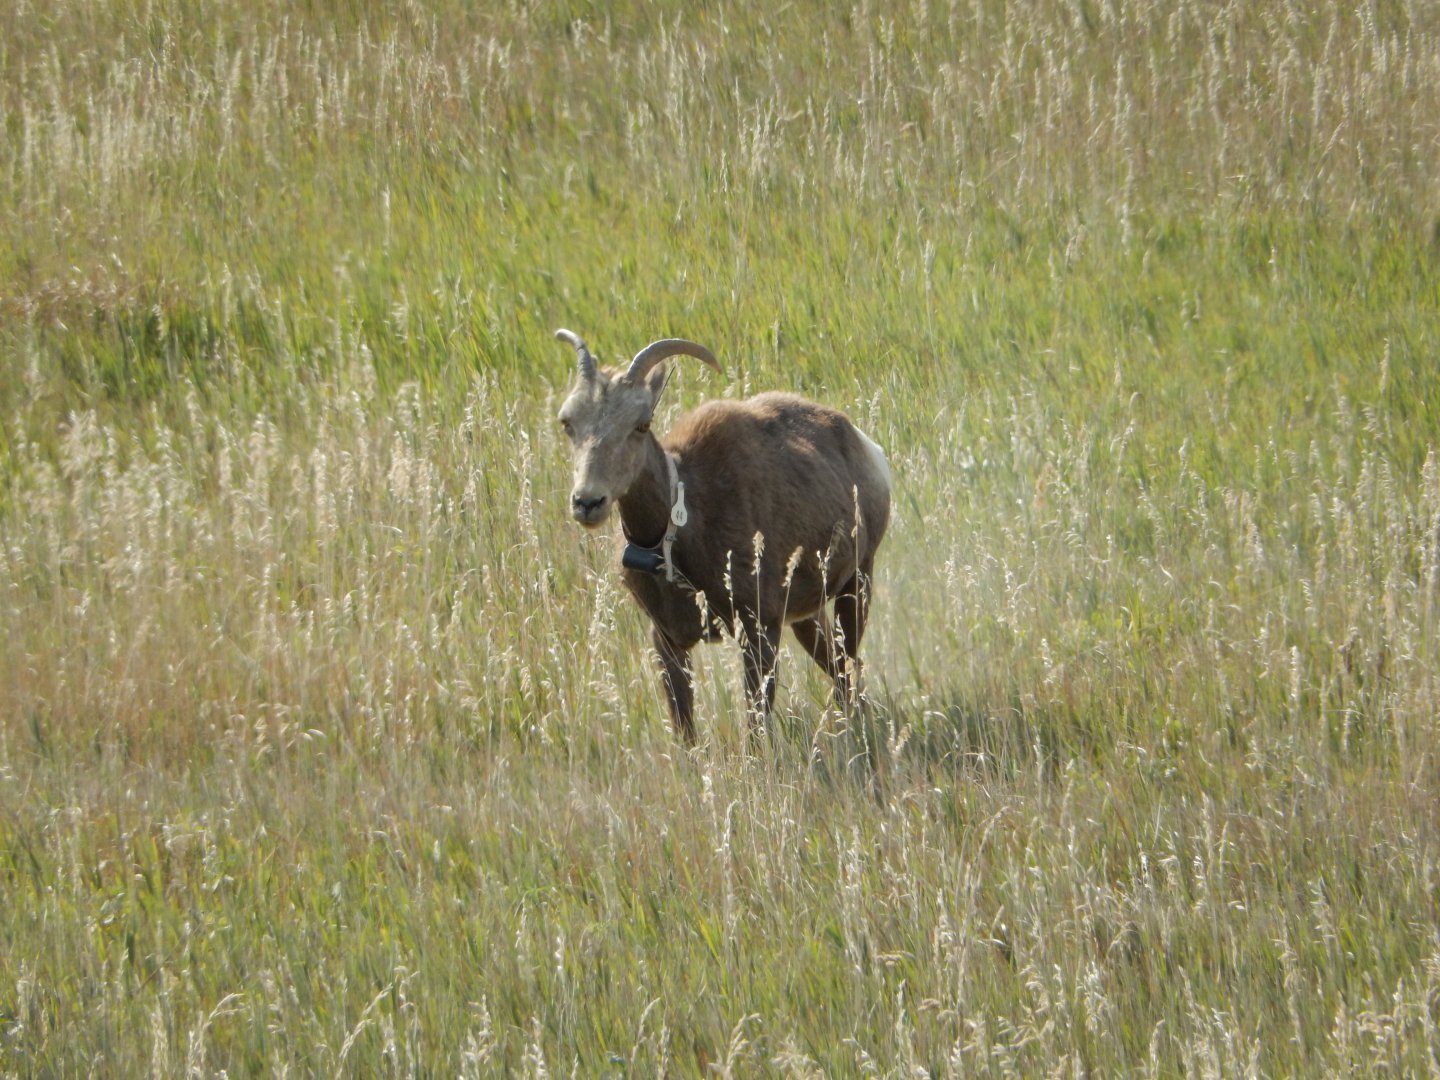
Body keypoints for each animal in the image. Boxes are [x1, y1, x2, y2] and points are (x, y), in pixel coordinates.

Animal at [554, 328, 891, 743]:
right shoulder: (667, 640)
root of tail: (866, 447)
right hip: (806, 616)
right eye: (568, 422)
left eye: (641, 423)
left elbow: (756, 732)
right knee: (840, 668)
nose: (588, 501)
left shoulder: (759, 631)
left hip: (857, 584)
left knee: (849, 664)